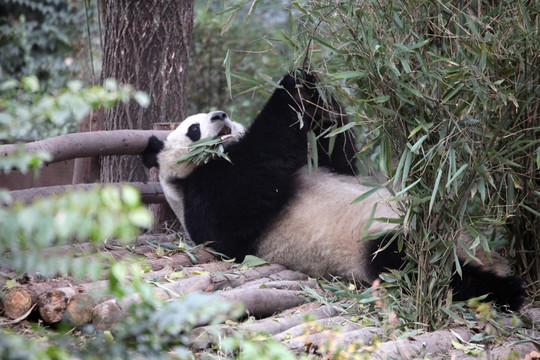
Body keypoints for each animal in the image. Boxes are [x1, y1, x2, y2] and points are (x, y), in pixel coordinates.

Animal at [143, 69, 528, 310]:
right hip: (378, 242)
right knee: (414, 265)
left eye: (211, 115)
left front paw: (318, 94)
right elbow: (258, 167)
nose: (221, 115)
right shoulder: (208, 199)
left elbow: (340, 159)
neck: (184, 178)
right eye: (194, 129)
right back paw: (505, 290)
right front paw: (294, 85)